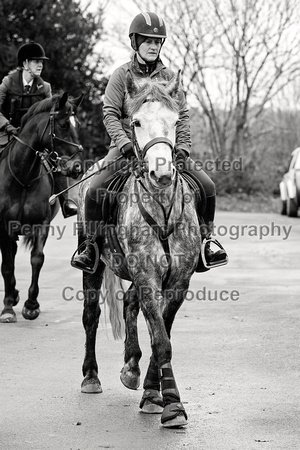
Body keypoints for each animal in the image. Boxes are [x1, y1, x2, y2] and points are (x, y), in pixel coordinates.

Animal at [0, 92, 82, 324]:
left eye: (77, 124)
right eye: (63, 125)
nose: (77, 167)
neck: (23, 177)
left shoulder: (41, 224)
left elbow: (37, 259)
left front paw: (31, 305)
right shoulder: (4, 226)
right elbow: (7, 265)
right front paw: (8, 308)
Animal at [76, 74, 202, 428]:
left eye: (175, 121)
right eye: (136, 122)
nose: (162, 174)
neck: (161, 208)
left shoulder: (177, 282)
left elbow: (162, 333)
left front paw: (154, 393)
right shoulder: (147, 275)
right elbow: (161, 339)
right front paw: (172, 405)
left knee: (130, 304)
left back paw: (131, 366)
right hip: (94, 268)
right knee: (91, 316)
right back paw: (91, 376)